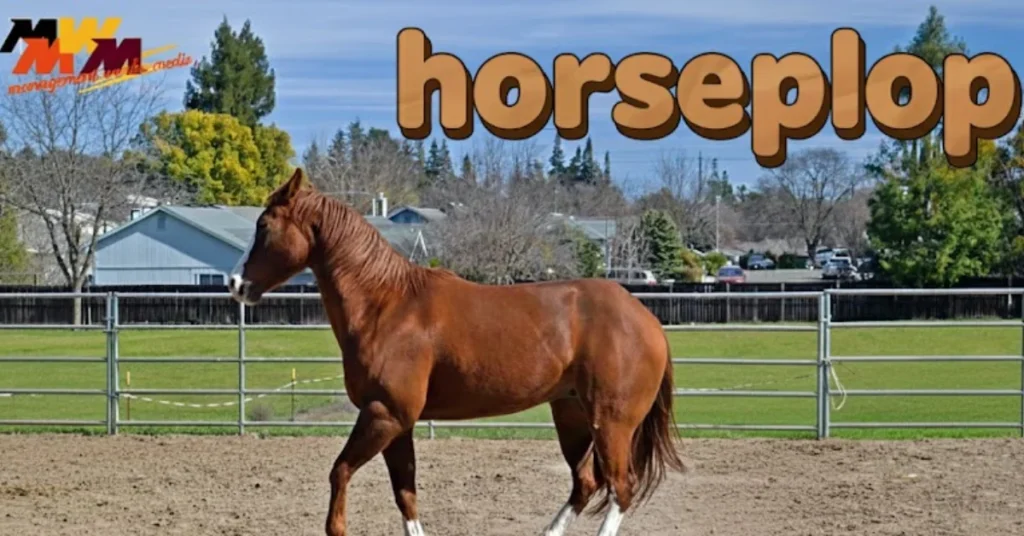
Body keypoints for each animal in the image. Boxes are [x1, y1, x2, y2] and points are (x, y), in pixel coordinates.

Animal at [228, 168, 686, 536]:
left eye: (264, 225)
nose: (235, 283)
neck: (386, 304)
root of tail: (646, 319)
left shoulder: (384, 415)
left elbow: (340, 473)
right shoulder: (397, 423)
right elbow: (406, 496)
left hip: (612, 422)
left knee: (620, 487)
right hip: (572, 415)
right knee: (586, 483)